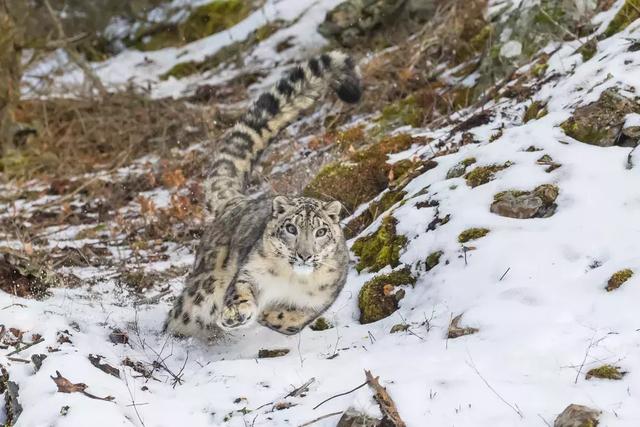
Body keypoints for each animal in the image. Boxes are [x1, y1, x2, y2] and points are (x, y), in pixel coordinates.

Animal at [165, 50, 362, 340]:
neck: (293, 279)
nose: (304, 255)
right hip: (202, 289)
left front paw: (268, 314)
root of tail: (238, 201)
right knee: (181, 313)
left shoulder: (319, 300)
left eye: (321, 231)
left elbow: (290, 317)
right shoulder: (249, 273)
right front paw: (236, 314)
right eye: (291, 228)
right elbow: (241, 291)